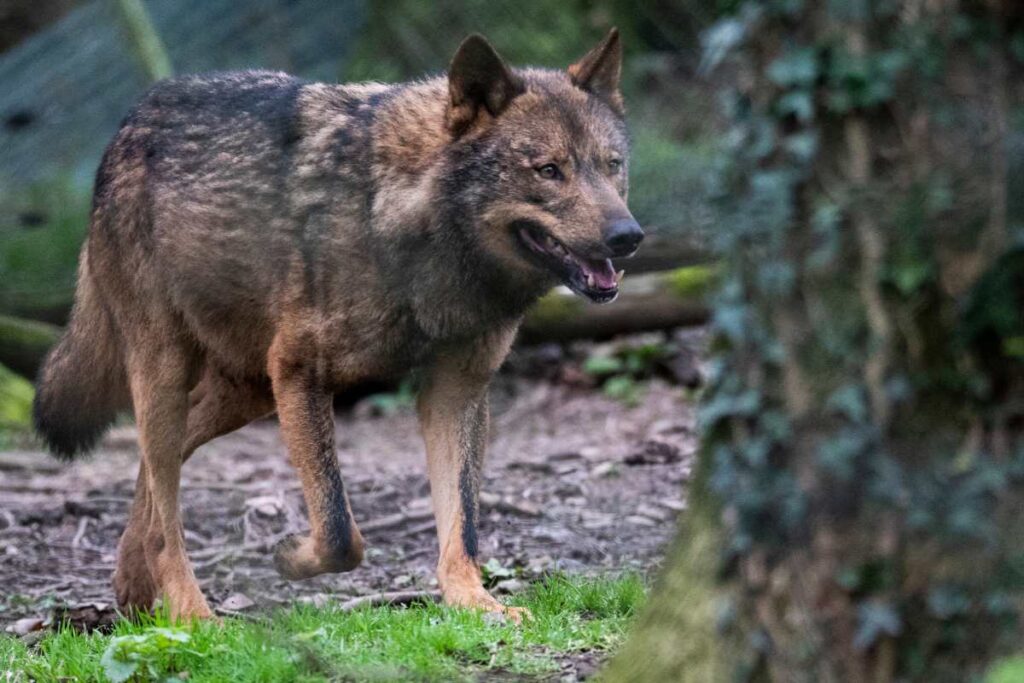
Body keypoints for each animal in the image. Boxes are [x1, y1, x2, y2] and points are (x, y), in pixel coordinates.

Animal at [36, 29, 643, 622]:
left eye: (611, 165)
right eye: (549, 170)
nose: (628, 236)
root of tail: (133, 116)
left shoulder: (457, 389)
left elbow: (462, 523)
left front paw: (473, 602)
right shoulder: (299, 372)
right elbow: (338, 531)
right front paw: (289, 555)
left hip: (247, 392)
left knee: (152, 467)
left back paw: (133, 585)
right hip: (172, 372)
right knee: (165, 505)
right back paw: (192, 616)